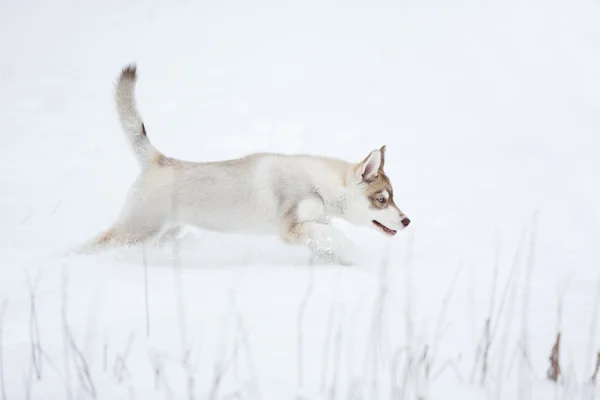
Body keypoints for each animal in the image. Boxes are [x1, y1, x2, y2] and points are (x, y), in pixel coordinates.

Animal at [79, 65, 410, 266]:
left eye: (391, 197)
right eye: (382, 199)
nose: (407, 221)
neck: (318, 185)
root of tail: (159, 159)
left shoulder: (313, 225)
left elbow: (328, 239)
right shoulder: (291, 228)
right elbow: (336, 237)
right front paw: (353, 252)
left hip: (161, 233)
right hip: (136, 229)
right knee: (89, 246)